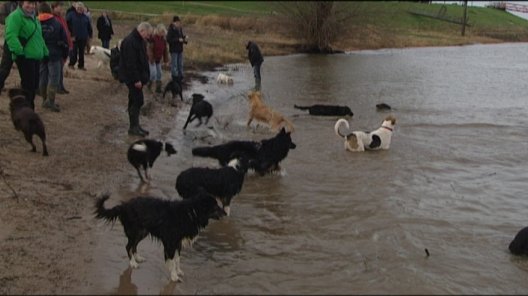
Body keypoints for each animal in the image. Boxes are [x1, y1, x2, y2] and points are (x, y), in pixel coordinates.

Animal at [95, 191, 225, 284]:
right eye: (215, 207)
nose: (225, 213)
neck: (191, 213)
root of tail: (123, 206)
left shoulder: (177, 242)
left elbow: (177, 259)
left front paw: (178, 271)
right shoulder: (171, 242)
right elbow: (172, 260)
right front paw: (174, 276)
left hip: (142, 232)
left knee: (134, 246)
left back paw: (138, 258)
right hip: (134, 231)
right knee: (128, 246)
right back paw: (133, 263)